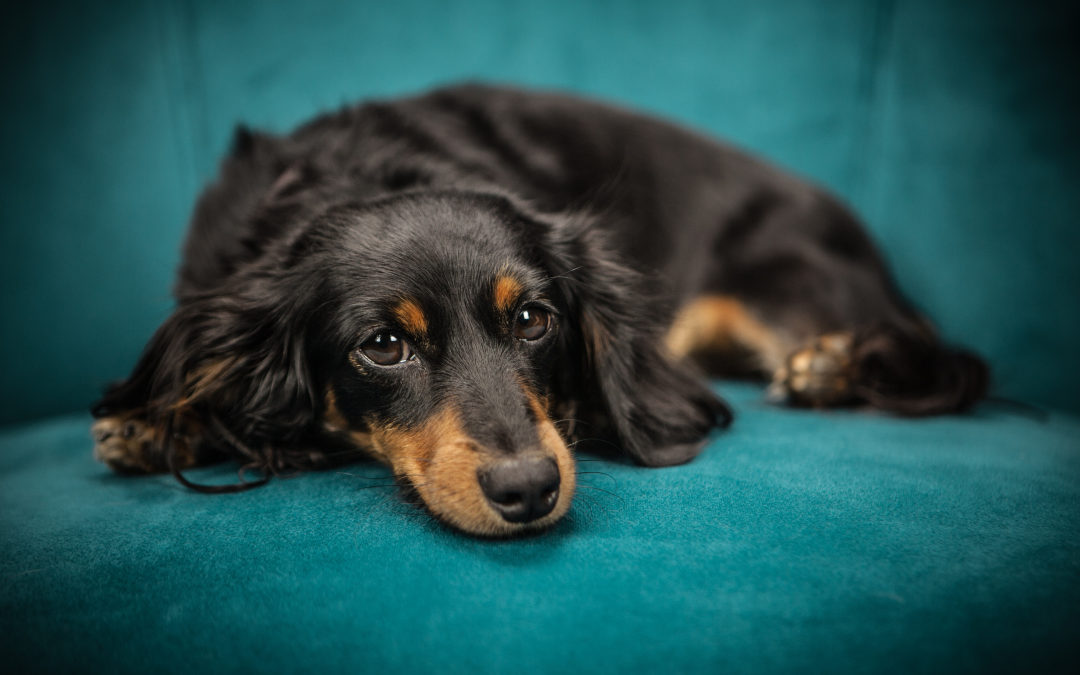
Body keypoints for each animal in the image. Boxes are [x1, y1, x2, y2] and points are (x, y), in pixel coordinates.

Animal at [92, 84, 989, 533]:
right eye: (382, 344)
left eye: (533, 319)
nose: (528, 489)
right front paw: (155, 420)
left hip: (782, 283)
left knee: (945, 362)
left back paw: (833, 365)